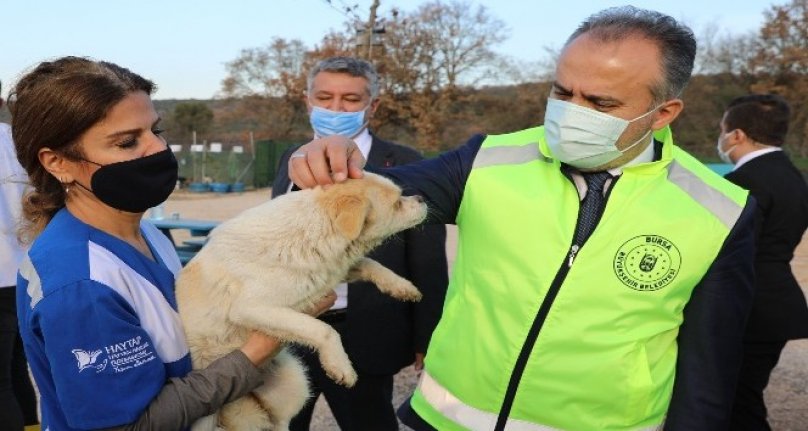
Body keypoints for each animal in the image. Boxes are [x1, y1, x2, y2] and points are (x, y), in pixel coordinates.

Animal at [177, 173, 430, 431]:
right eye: (397, 203)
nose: (422, 198)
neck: (310, 232)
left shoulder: (331, 272)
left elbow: (371, 264)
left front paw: (403, 287)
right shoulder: (251, 308)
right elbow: (323, 329)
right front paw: (341, 366)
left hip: (294, 382)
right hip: (205, 417)